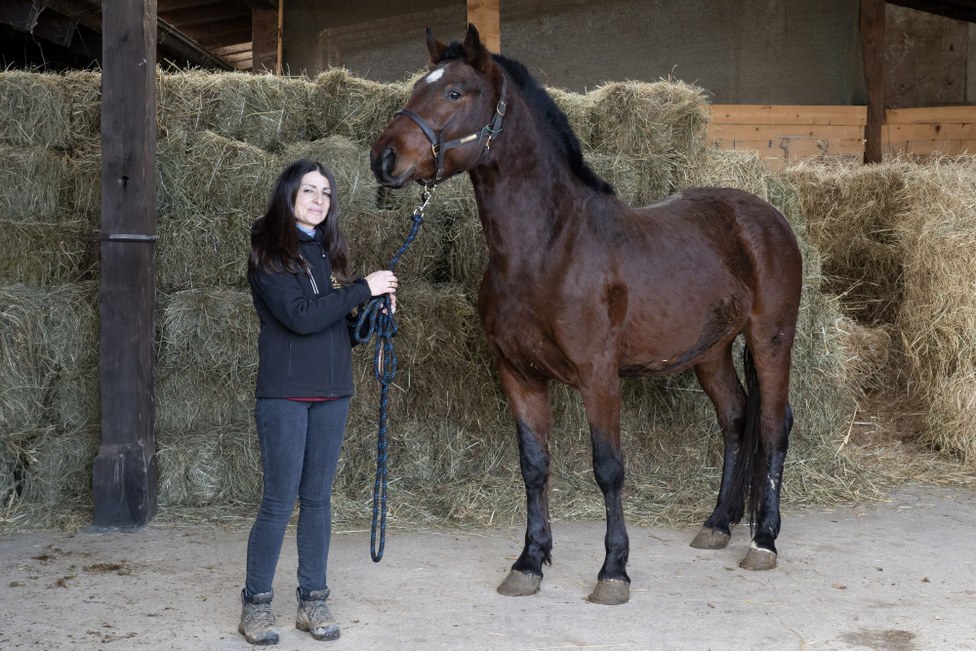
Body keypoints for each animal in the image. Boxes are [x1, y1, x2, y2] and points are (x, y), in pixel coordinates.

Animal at [370, 25, 804, 608]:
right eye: (420, 85)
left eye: (455, 92)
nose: (384, 158)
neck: (549, 248)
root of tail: (766, 216)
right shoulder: (519, 375)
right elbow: (534, 468)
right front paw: (529, 562)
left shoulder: (599, 376)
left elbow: (608, 468)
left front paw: (614, 570)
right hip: (710, 351)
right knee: (736, 420)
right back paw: (717, 524)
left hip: (770, 338)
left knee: (774, 426)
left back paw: (763, 541)